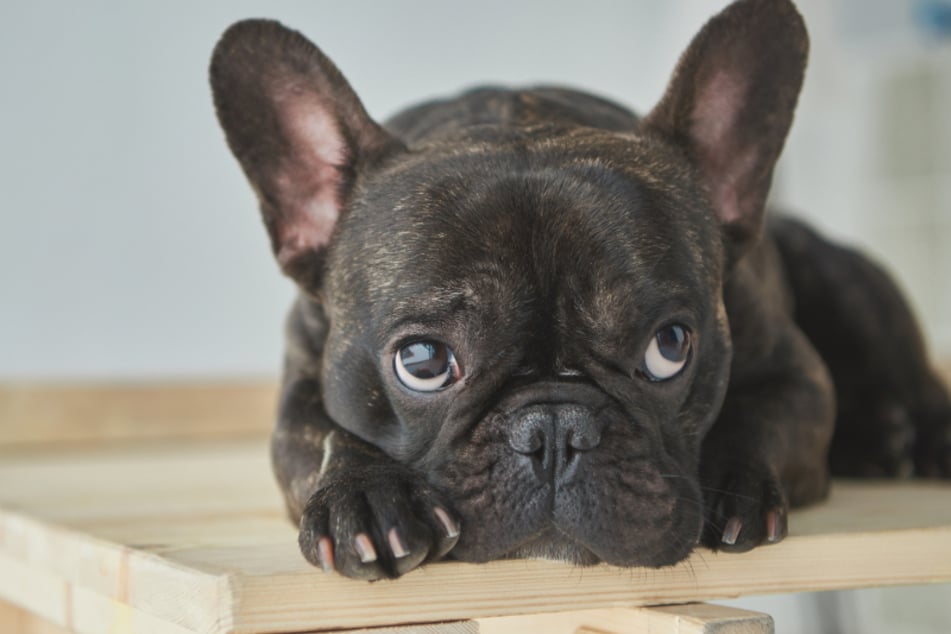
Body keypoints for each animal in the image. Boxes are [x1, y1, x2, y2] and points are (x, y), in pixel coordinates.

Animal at [210, 0, 951, 576]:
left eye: (669, 347)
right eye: (422, 362)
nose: (554, 431)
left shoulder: (795, 376)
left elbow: (760, 414)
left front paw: (730, 483)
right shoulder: (300, 386)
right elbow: (319, 437)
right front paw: (362, 498)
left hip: (842, 277)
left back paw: (911, 435)